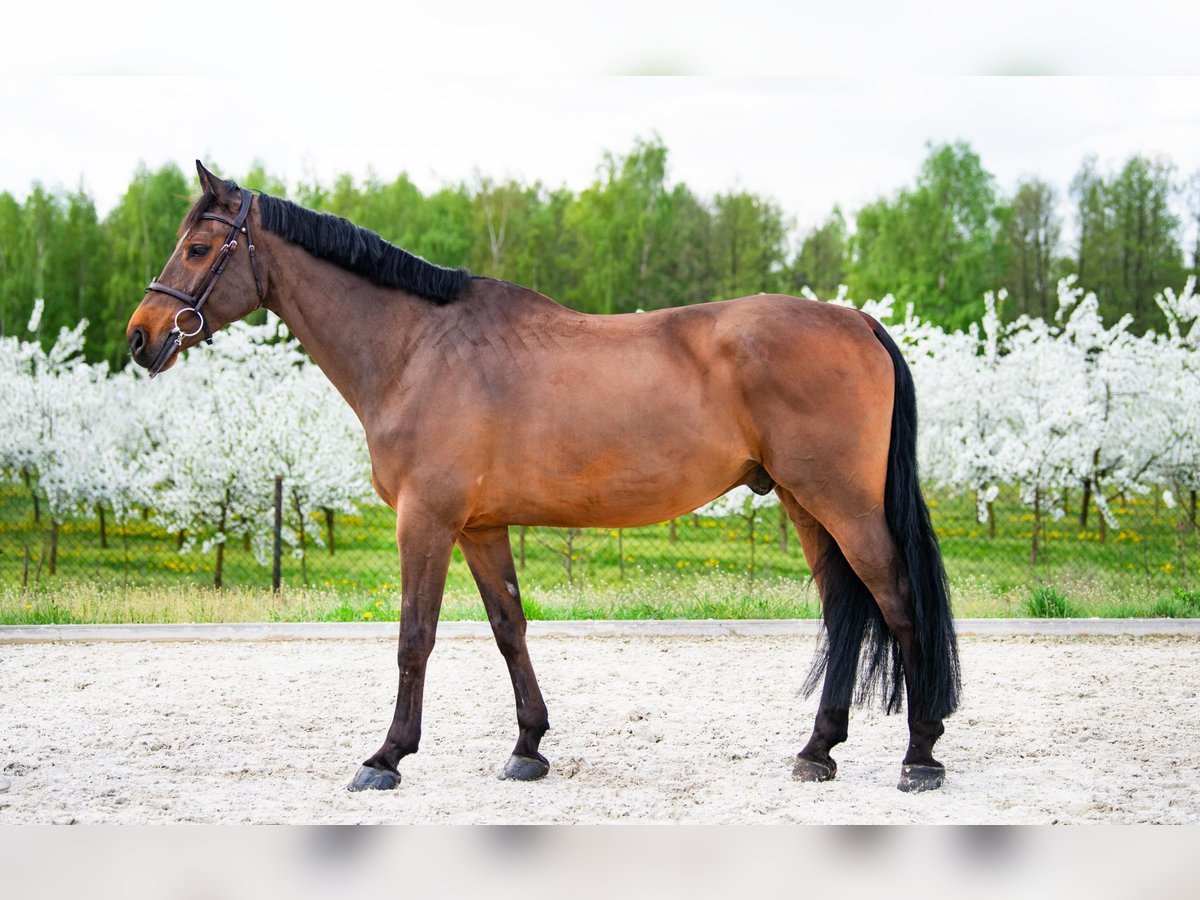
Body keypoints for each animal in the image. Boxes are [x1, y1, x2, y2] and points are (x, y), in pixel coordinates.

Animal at [124, 162, 955, 796]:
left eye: (199, 247)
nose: (140, 336)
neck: (417, 348)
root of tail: (856, 321)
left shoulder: (425, 521)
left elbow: (414, 637)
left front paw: (387, 756)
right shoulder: (481, 526)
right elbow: (509, 628)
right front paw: (528, 747)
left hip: (842, 503)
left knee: (896, 601)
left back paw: (920, 755)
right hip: (807, 504)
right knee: (846, 613)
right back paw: (818, 751)